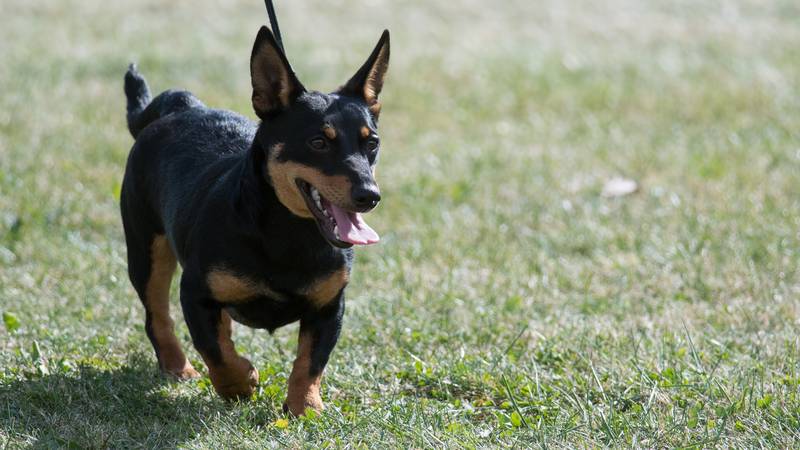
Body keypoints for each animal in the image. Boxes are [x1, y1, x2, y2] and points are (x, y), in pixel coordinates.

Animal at [119, 26, 390, 416]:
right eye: (318, 142)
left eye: (372, 144)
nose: (369, 195)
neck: (289, 233)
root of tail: (182, 105)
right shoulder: (195, 293)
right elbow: (215, 352)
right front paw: (240, 382)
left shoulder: (329, 307)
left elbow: (310, 361)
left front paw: (304, 407)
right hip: (146, 252)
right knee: (158, 317)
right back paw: (178, 367)